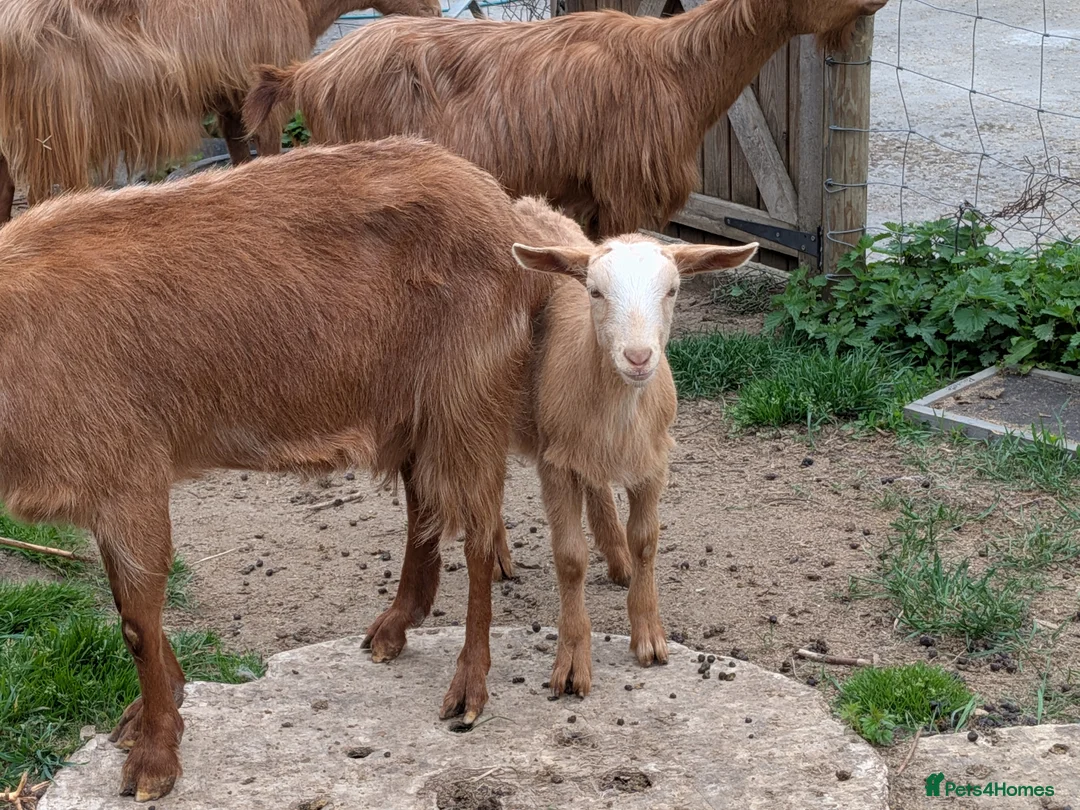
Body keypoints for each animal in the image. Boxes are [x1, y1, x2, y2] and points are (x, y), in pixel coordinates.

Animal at [0, 0, 441, 224]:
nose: (435, 12)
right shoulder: (263, 95)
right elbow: (266, 151)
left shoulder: (232, 98)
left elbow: (239, 153)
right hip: (48, 130)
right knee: (37, 197)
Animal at [0, 137, 560, 801]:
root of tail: (504, 216)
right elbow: (130, 608)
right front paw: (155, 715)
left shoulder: (129, 476)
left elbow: (136, 619)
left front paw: (154, 758)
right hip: (413, 408)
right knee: (425, 509)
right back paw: (395, 628)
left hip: (467, 398)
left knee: (477, 537)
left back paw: (467, 691)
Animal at [366, 195, 758, 696]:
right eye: (594, 291)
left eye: (672, 290)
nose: (638, 357)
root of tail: (524, 202)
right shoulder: (555, 464)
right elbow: (570, 558)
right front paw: (572, 661)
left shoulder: (651, 461)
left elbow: (647, 541)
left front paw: (649, 634)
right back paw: (498, 555)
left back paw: (616, 556)